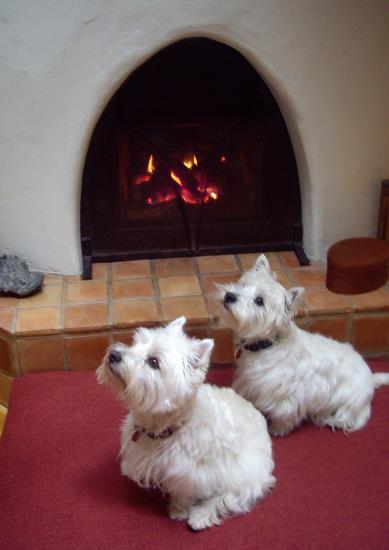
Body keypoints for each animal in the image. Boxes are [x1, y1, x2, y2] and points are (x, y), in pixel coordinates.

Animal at [95, 316, 274, 532]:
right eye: (136, 343)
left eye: (153, 362)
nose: (114, 354)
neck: (164, 426)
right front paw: (126, 468)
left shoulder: (191, 474)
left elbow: (184, 492)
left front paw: (178, 510)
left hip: (246, 471)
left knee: (232, 495)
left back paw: (200, 516)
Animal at [217, 256, 388, 438]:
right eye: (243, 285)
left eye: (259, 301)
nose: (229, 296)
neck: (269, 344)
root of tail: (370, 377)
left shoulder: (285, 398)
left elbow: (284, 416)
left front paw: (277, 430)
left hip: (350, 404)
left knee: (346, 419)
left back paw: (327, 419)